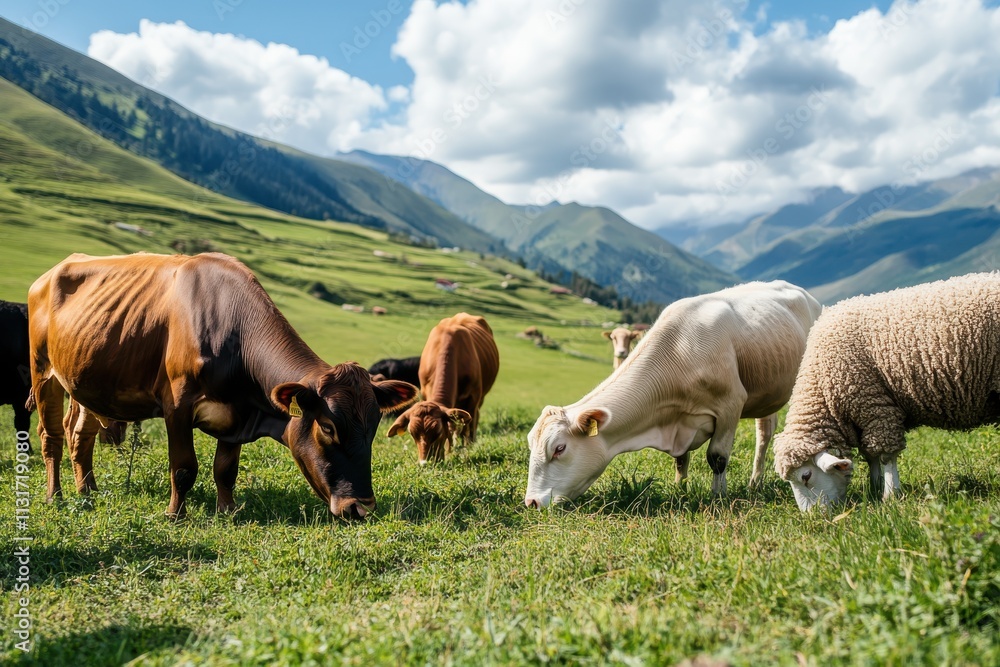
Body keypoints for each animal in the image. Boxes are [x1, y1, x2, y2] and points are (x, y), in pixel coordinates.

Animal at [27, 253, 417, 519]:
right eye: (328, 427)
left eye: (372, 427)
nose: (360, 507)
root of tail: (54, 270)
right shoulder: (178, 405)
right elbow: (184, 467)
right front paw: (175, 514)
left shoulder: (237, 414)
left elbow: (226, 469)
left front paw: (227, 510)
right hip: (43, 371)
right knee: (51, 437)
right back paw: (56, 496)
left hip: (85, 382)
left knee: (80, 435)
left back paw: (88, 490)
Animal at [387, 313, 500, 464]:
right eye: (412, 433)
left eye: (438, 432)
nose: (425, 462)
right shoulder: (425, 392)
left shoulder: (473, 398)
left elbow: (468, 427)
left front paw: (466, 449)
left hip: (479, 399)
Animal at [524, 281, 823, 508]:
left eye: (559, 448)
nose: (532, 502)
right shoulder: (679, 422)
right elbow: (680, 460)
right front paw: (681, 488)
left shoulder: (731, 404)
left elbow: (717, 458)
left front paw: (718, 495)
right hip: (768, 391)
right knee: (765, 431)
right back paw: (755, 481)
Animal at [773, 272, 1000, 511]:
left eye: (806, 476)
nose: (812, 516)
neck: (824, 392)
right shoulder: (864, 416)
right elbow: (869, 456)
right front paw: (874, 486)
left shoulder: (876, 407)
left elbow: (885, 456)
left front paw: (890, 494)